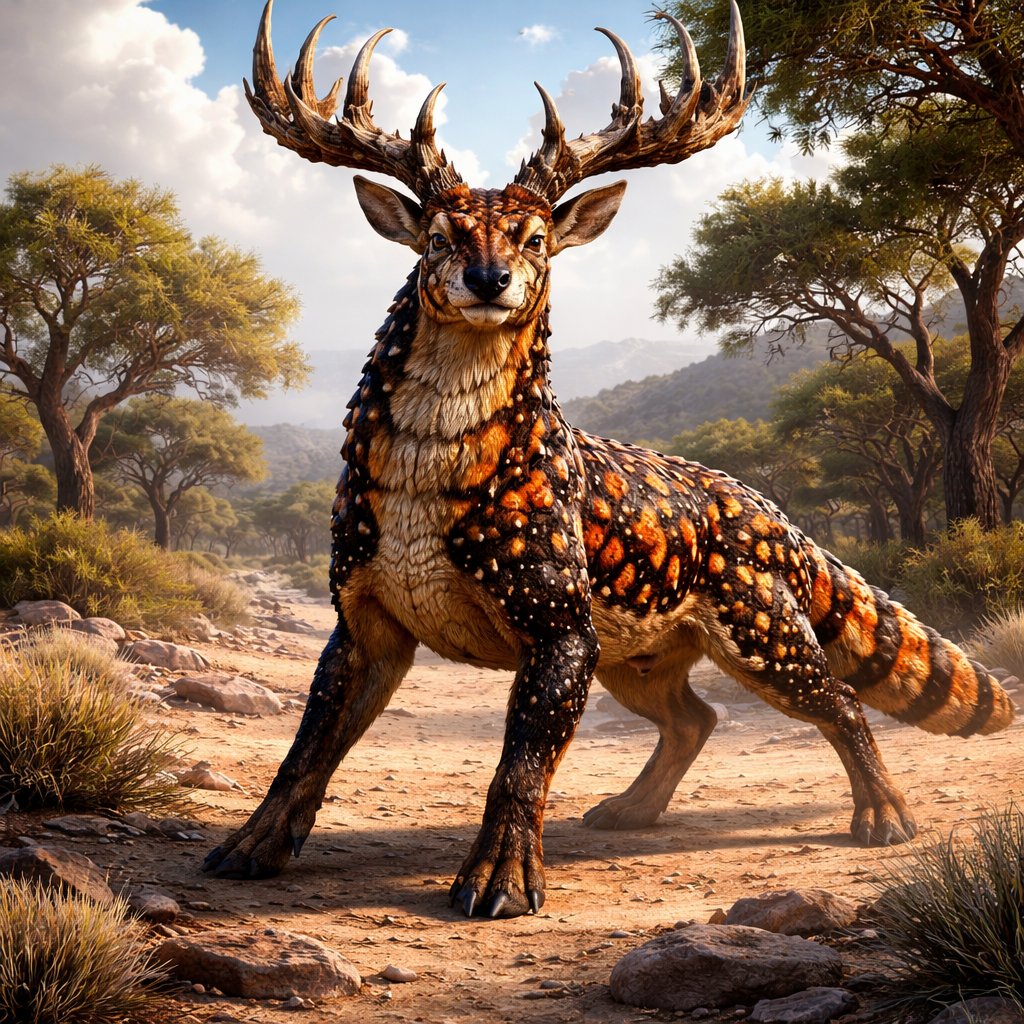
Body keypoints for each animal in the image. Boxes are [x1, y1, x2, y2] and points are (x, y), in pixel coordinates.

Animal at [203, 0, 1016, 919]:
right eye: (439, 236)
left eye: (534, 237)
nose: (489, 279)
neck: (424, 481)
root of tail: (774, 515)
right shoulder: (363, 617)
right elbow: (307, 748)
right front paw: (248, 848)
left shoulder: (560, 620)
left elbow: (520, 764)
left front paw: (500, 881)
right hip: (646, 653)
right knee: (695, 717)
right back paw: (631, 809)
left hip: (758, 623)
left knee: (836, 699)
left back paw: (884, 816)